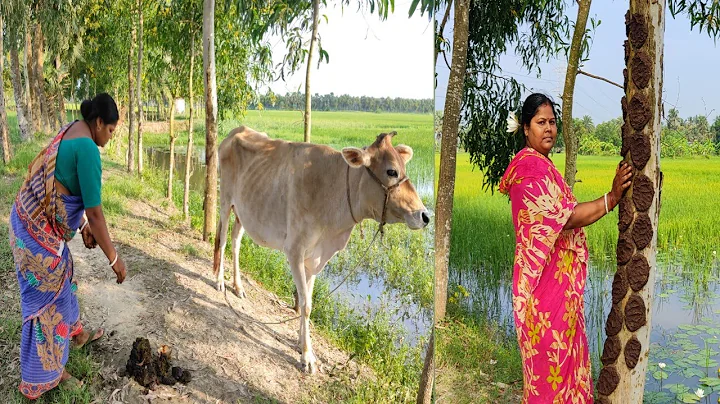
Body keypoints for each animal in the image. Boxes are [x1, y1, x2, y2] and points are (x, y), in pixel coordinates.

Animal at [213, 126, 430, 373]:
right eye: (391, 171)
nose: (424, 215)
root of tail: (237, 131)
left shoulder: (315, 259)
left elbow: (307, 300)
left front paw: (300, 342)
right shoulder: (295, 251)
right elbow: (305, 305)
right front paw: (307, 356)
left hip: (244, 211)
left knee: (236, 242)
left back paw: (238, 286)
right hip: (225, 201)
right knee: (222, 239)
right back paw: (219, 282)